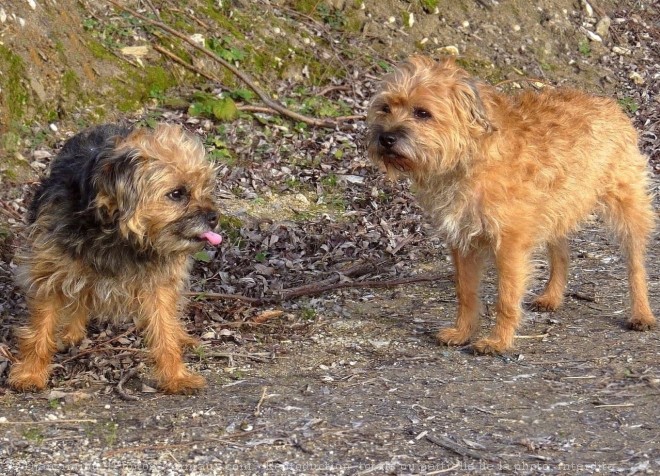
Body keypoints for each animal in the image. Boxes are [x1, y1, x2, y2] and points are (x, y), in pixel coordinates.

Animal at [9, 122, 223, 394]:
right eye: (177, 194)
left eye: (205, 187)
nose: (214, 216)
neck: (117, 235)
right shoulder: (49, 274)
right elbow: (40, 328)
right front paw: (30, 373)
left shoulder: (158, 284)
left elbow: (164, 329)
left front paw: (176, 376)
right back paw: (70, 331)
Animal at [366, 54, 656, 354]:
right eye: (385, 108)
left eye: (422, 113)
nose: (386, 138)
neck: (468, 155)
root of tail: (610, 105)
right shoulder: (462, 242)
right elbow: (466, 292)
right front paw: (463, 332)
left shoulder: (509, 245)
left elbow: (505, 297)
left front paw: (499, 341)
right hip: (556, 209)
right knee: (561, 254)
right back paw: (552, 296)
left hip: (628, 209)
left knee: (636, 266)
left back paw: (641, 313)